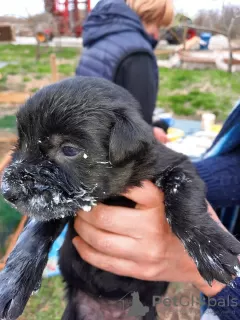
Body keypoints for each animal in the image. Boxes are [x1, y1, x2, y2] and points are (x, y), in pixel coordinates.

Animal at [0, 77, 240, 320]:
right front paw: (12, 284)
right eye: (20, 143)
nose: (7, 192)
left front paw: (210, 248)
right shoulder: (59, 203)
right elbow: (34, 231)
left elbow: (182, 197)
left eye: (69, 149)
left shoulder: (178, 165)